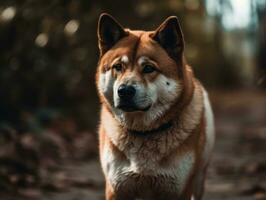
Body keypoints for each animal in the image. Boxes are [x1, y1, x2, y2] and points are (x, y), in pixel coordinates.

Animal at [95, 13, 214, 199]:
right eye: (118, 67)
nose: (125, 91)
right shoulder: (116, 188)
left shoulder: (179, 190)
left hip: (199, 179)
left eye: (149, 68)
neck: (144, 133)